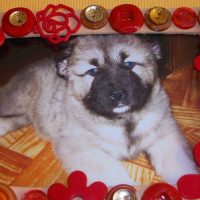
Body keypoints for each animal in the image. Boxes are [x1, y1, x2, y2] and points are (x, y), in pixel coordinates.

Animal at [0, 34, 197, 186]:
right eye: (93, 71)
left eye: (129, 64)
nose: (118, 95)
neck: (124, 119)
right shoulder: (82, 149)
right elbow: (112, 173)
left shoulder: (166, 138)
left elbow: (182, 168)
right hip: (16, 100)